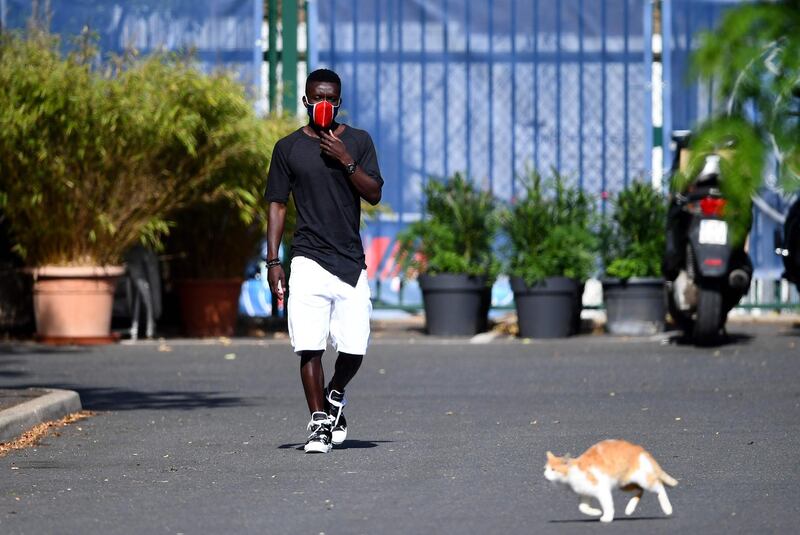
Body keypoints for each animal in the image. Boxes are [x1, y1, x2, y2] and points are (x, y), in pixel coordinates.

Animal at [544, 440, 676, 524]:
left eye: (553, 469)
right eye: (545, 469)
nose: (545, 475)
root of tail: (639, 449)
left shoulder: (602, 489)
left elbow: (607, 505)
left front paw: (607, 517)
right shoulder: (584, 493)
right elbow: (582, 507)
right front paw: (596, 512)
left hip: (643, 479)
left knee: (659, 486)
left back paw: (667, 508)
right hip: (624, 483)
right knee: (640, 490)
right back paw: (630, 509)